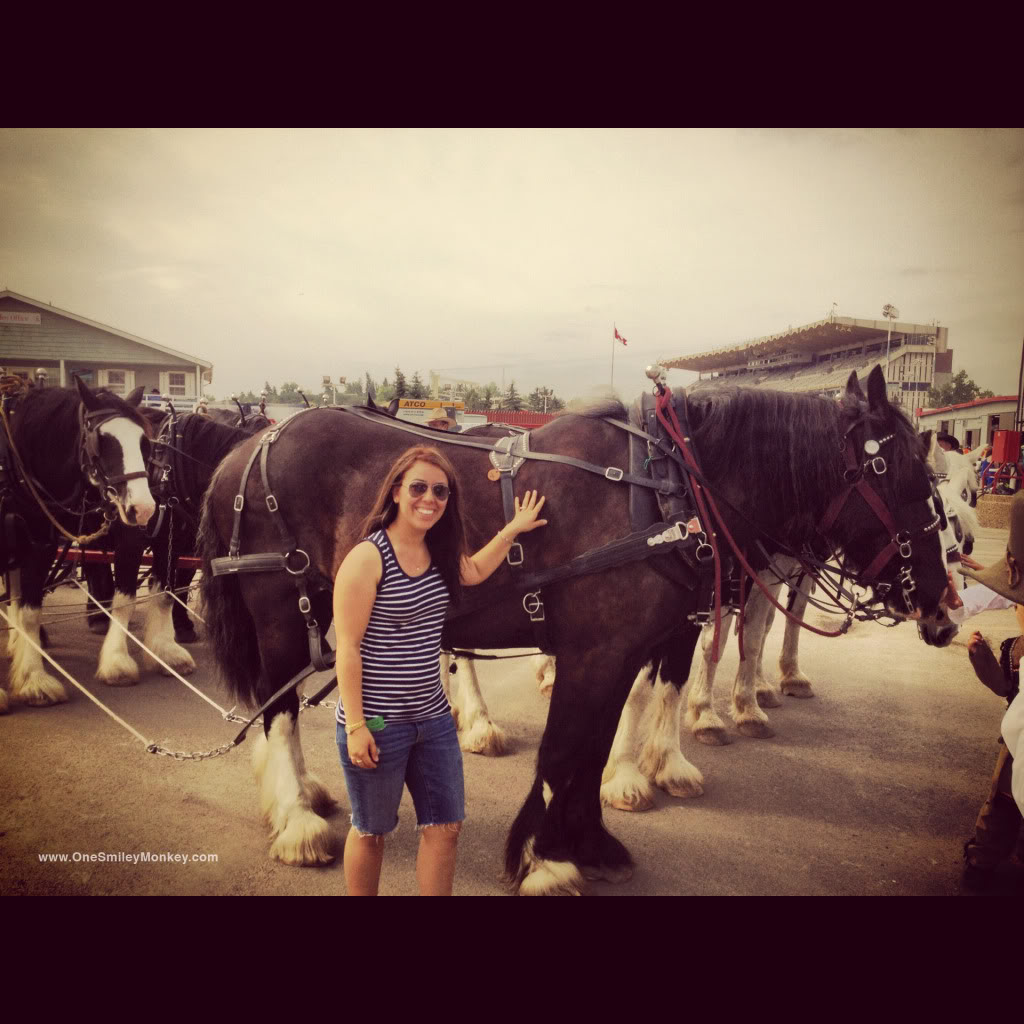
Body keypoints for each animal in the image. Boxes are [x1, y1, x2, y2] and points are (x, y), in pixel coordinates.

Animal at [2, 378, 155, 712]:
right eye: (103, 440)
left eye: (143, 442)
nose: (144, 508)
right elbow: (29, 609)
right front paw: (33, 679)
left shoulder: (41, 542)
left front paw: (115, 663)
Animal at [199, 366, 950, 888]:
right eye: (904, 476)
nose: (942, 611)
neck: (668, 491)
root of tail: (250, 443)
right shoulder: (595, 651)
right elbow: (566, 750)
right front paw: (548, 859)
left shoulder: (628, 651)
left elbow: (593, 747)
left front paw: (591, 840)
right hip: (283, 609)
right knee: (278, 707)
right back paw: (298, 821)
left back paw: (303, 799)